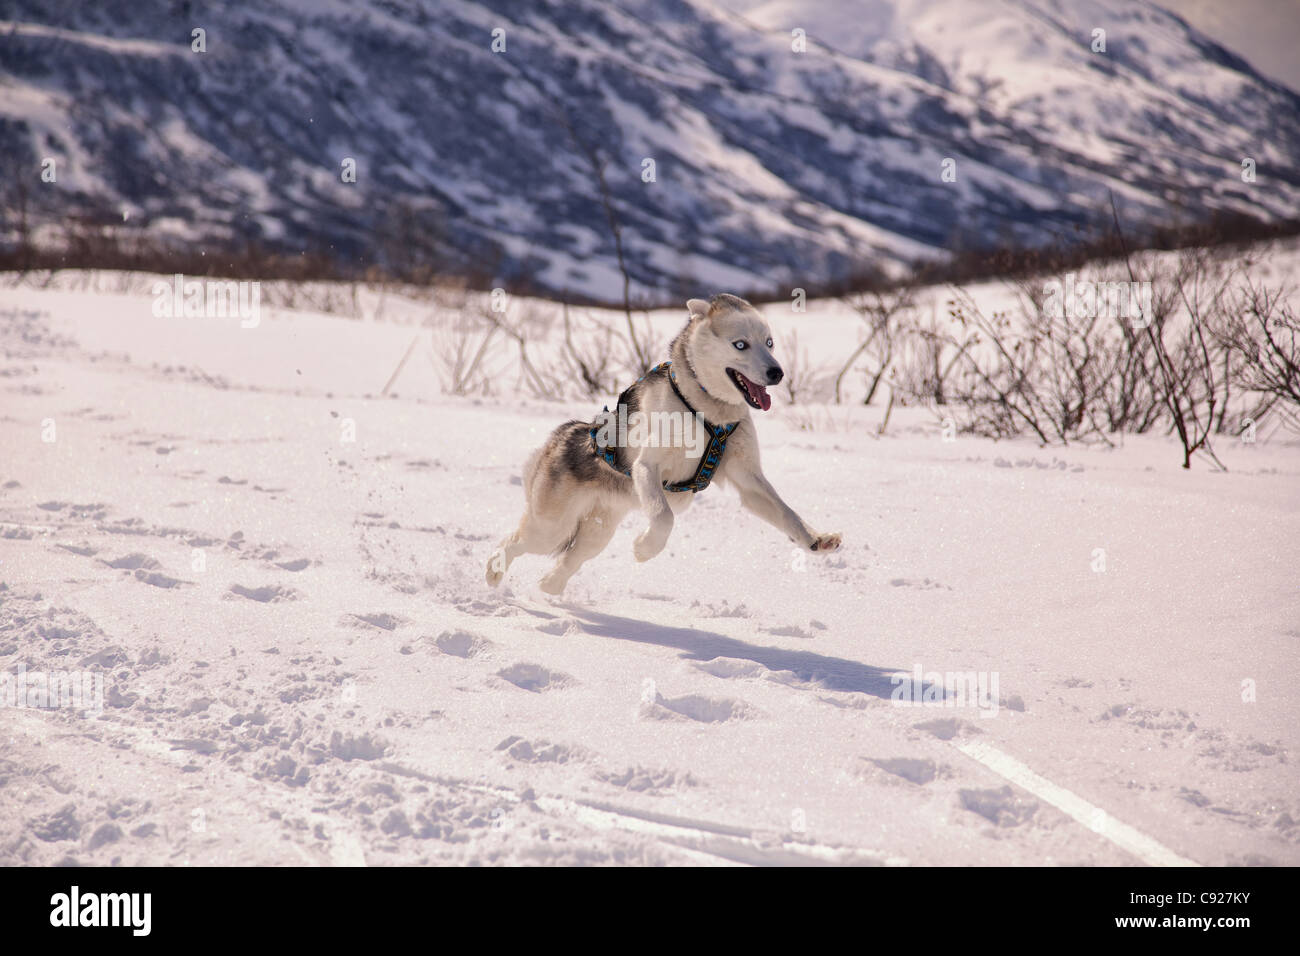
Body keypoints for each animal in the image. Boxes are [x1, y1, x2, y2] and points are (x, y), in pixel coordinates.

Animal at [488, 291, 842, 595]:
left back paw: (550, 587)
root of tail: (566, 433)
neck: (706, 410)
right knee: (513, 543)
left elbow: (787, 513)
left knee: (567, 561)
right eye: (741, 344)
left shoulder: (748, 479)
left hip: (596, 533)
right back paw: (494, 572)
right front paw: (644, 549)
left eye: (769, 343)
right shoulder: (647, 467)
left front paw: (816, 539)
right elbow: (663, 517)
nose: (777, 372)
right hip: (550, 528)